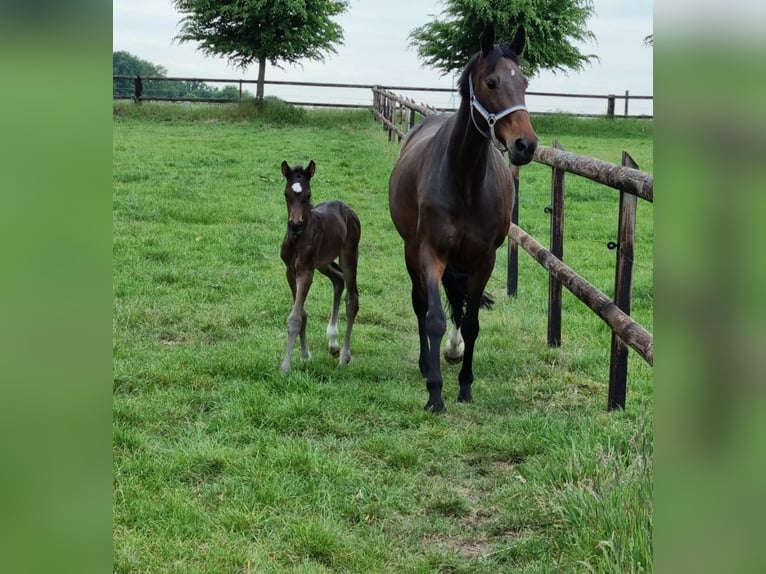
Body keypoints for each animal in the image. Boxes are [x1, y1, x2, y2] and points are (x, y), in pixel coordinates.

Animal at [280, 161, 360, 374]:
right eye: (286, 194)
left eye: (308, 195)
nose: (295, 225)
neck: (297, 240)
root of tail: (346, 208)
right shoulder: (290, 272)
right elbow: (301, 313)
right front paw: (305, 355)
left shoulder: (306, 272)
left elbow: (295, 318)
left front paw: (285, 366)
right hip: (323, 263)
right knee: (338, 280)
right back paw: (332, 341)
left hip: (349, 257)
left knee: (352, 300)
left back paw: (344, 357)